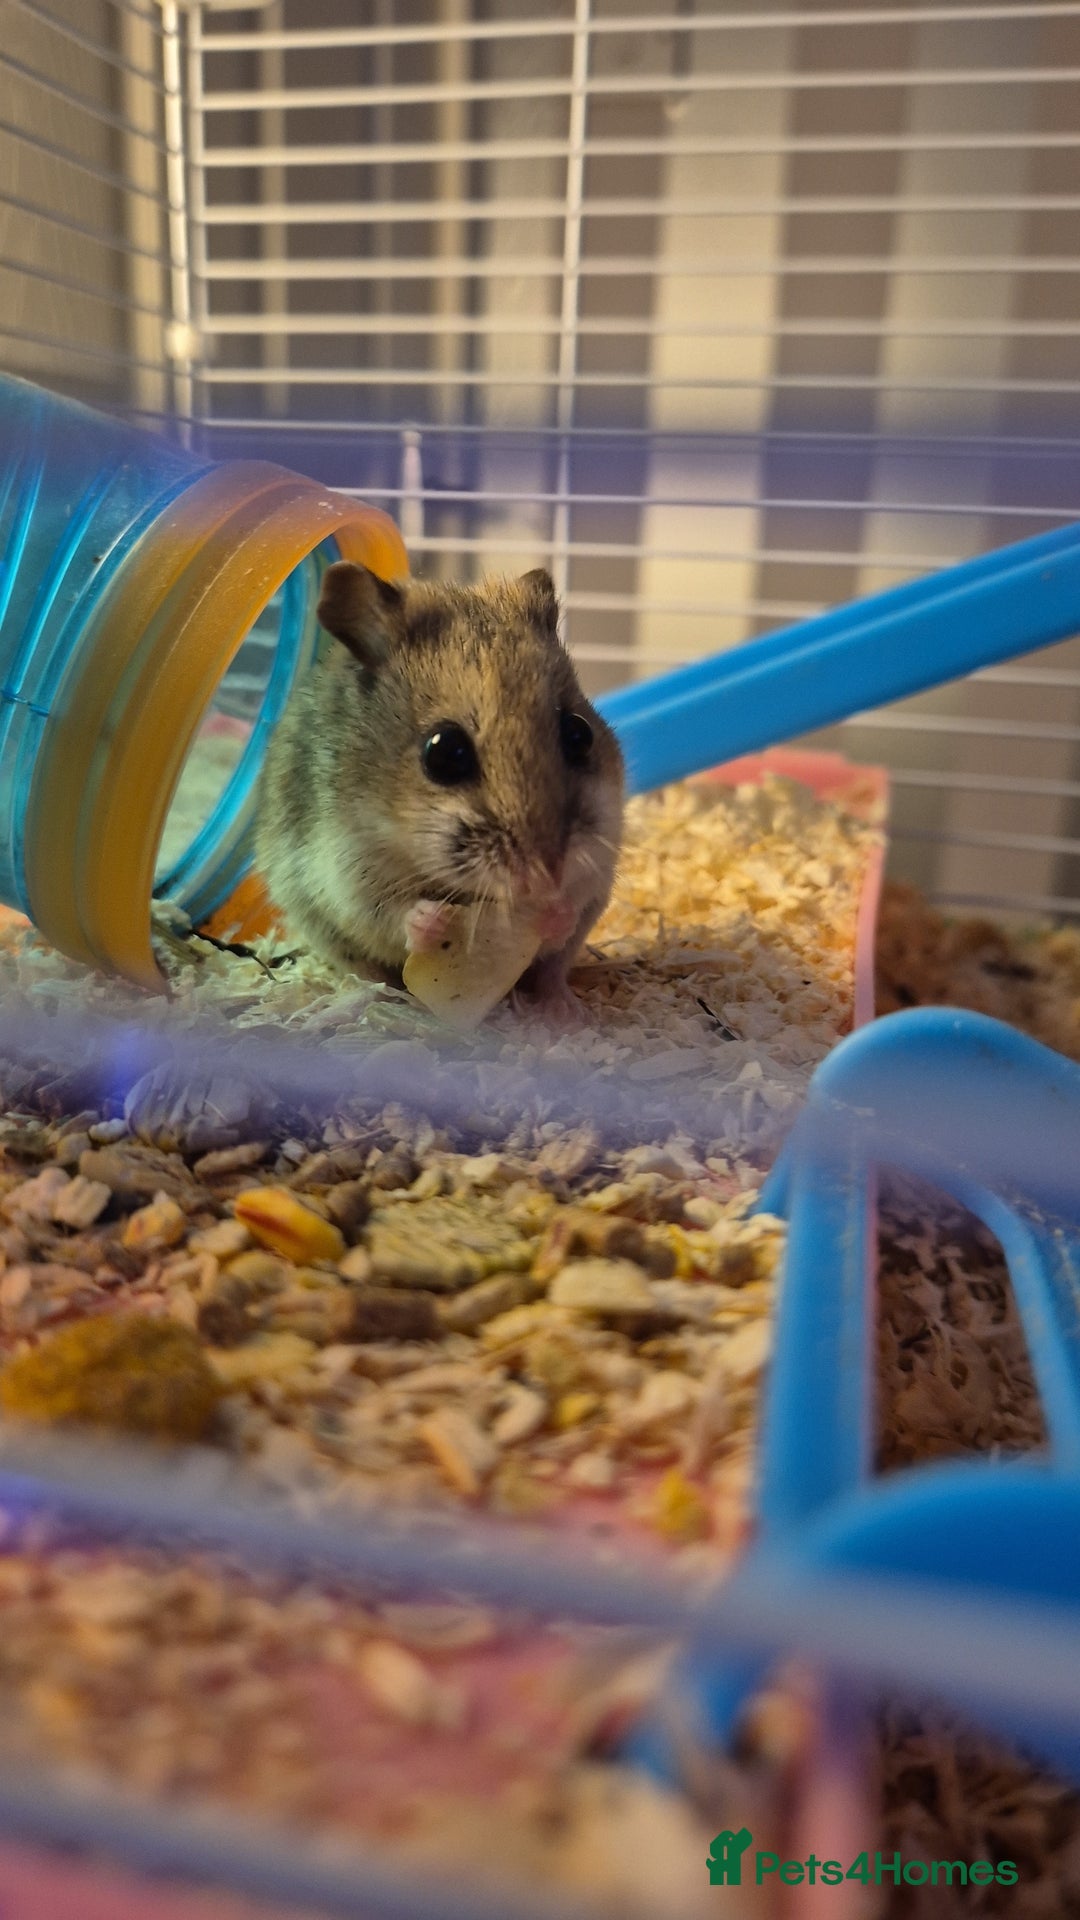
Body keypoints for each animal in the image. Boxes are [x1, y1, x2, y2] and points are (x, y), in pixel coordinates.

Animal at [256, 561, 625, 1011]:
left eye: (580, 734)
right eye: (445, 753)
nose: (544, 880)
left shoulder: (599, 870)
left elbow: (569, 916)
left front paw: (555, 910)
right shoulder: (347, 877)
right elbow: (392, 916)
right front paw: (434, 920)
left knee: (553, 972)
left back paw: (565, 1008)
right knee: (365, 972)